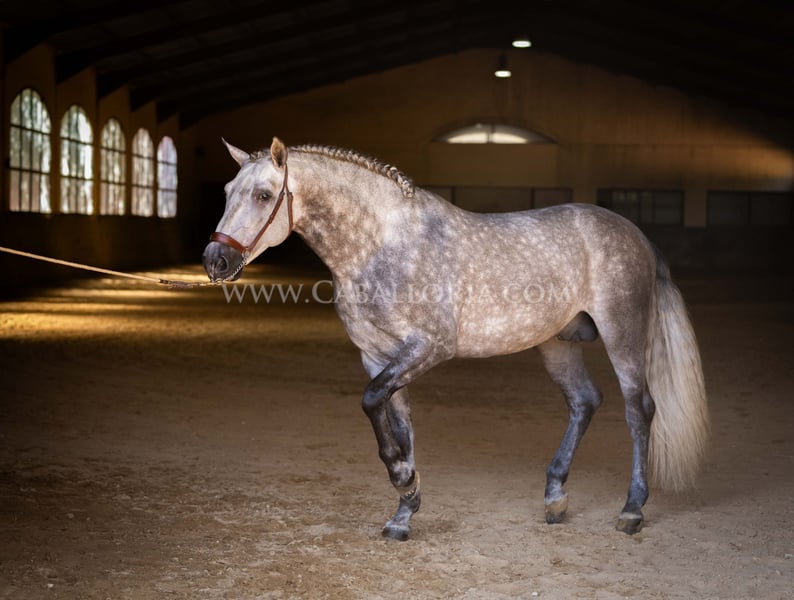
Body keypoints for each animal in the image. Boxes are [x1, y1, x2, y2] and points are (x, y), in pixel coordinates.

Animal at [203, 137, 709, 541]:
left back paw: (632, 509)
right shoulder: (377, 357)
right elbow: (396, 422)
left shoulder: (428, 347)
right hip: (557, 343)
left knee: (639, 410)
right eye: (227, 192)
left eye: (264, 194)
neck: (382, 245)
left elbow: (371, 402)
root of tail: (636, 234)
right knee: (584, 401)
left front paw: (403, 477)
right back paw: (554, 497)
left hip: (623, 334)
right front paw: (404, 508)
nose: (215, 261)